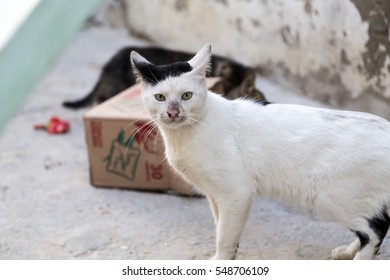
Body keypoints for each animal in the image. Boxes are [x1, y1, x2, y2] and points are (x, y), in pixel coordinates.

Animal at [131, 44, 390, 260]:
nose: (173, 112)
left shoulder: (237, 193)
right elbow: (221, 226)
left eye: (186, 95)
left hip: (334, 197)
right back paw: (347, 251)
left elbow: (224, 235)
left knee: (376, 230)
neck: (186, 135)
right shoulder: (214, 194)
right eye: (160, 97)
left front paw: (221, 261)